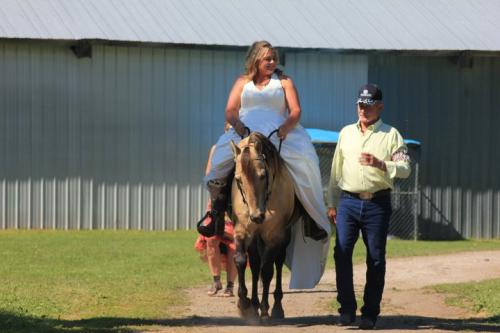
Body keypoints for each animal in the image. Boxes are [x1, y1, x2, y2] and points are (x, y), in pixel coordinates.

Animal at [230, 131, 300, 320]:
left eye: (262, 175)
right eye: (238, 179)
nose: (256, 216)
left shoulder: (273, 235)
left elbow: (267, 270)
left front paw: (265, 310)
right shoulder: (242, 231)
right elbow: (241, 261)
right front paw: (244, 303)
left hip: (283, 237)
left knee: (277, 263)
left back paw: (275, 307)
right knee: (255, 265)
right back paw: (253, 304)